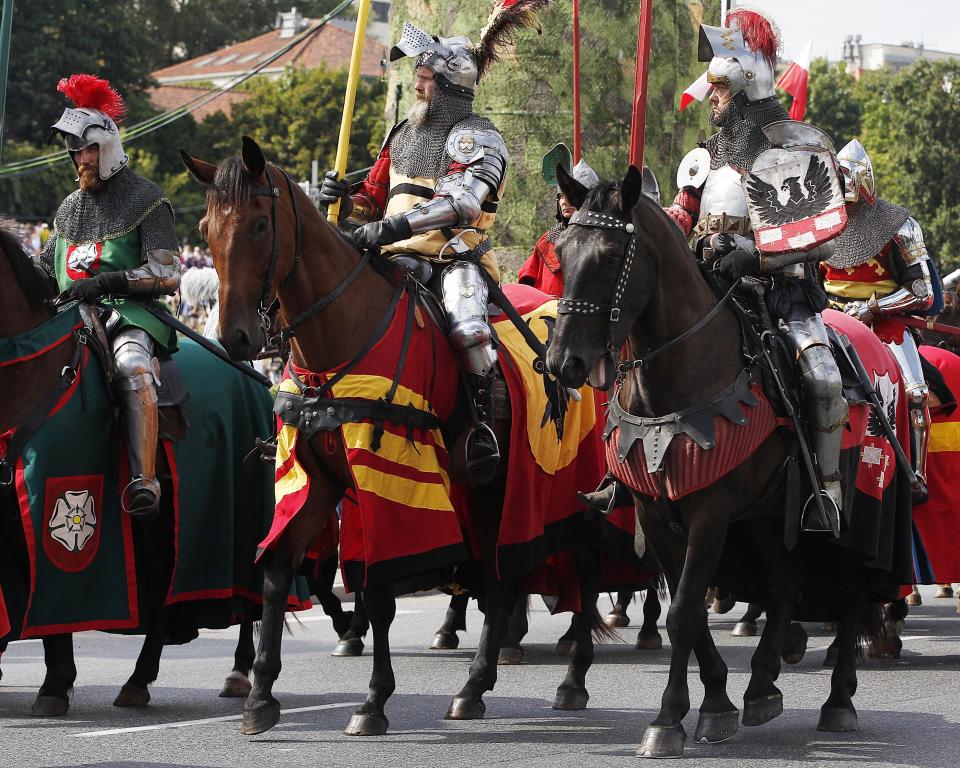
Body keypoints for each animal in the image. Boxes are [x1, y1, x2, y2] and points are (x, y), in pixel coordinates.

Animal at [0, 226, 256, 712]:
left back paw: (239, 672)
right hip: (161, 525)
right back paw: (140, 678)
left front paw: (55, 685)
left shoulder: (62, 498)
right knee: (163, 596)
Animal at [181, 135, 616, 736]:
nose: (237, 336)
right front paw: (260, 694)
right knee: (498, 576)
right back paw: (475, 686)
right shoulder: (311, 477)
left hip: (571, 487)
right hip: (489, 490)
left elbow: (381, 589)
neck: (338, 339)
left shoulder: (389, 478)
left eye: (260, 225)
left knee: (584, 566)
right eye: (206, 228)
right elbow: (278, 572)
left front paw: (372, 701)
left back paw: (573, 677)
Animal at [548, 165, 908, 760]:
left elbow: (684, 611)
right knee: (786, 586)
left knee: (854, 593)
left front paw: (668, 721)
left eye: (609, 255)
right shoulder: (656, 512)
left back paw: (838, 701)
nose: (562, 363)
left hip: (860, 517)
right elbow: (689, 613)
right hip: (767, 515)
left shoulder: (710, 513)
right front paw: (716, 703)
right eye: (561, 252)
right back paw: (761, 685)